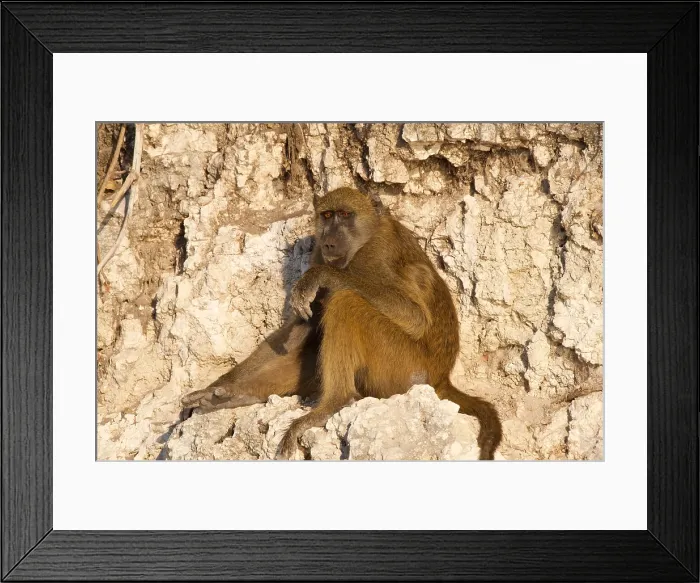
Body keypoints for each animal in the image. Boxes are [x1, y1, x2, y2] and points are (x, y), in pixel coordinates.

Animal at [181, 187, 502, 460]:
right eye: (326, 216)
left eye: (346, 214)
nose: (329, 241)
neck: (367, 234)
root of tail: (441, 377)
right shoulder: (319, 254)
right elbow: (300, 327)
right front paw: (224, 387)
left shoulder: (375, 255)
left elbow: (414, 317)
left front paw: (322, 277)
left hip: (406, 370)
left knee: (347, 303)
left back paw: (333, 403)